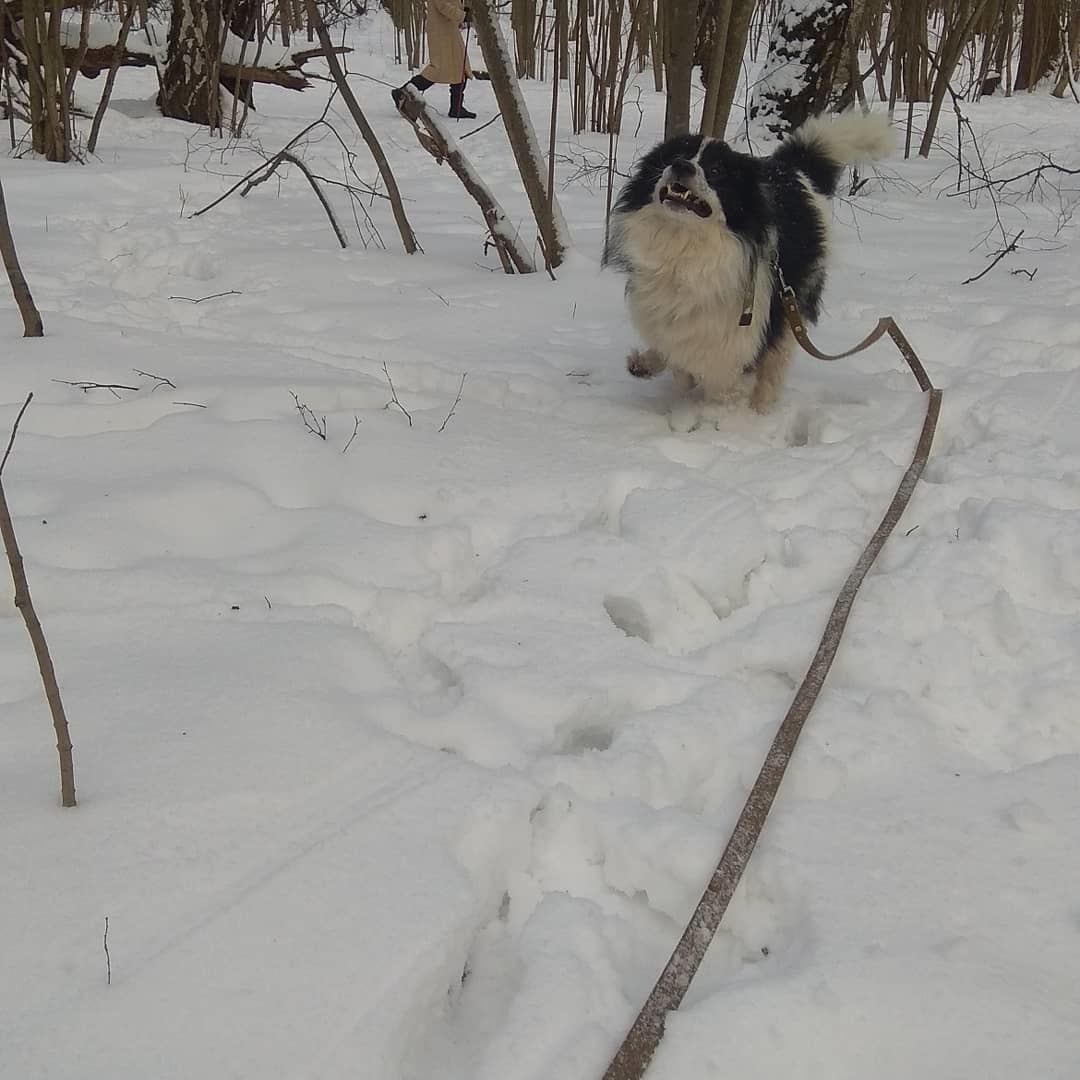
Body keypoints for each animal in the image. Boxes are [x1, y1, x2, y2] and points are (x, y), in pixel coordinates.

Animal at [600, 111, 894, 425]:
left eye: (716, 170)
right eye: (675, 155)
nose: (681, 165)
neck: (685, 248)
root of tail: (790, 168)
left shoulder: (741, 336)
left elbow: (725, 385)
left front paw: (718, 417)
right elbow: (679, 358)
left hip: (792, 304)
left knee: (775, 364)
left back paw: (761, 408)